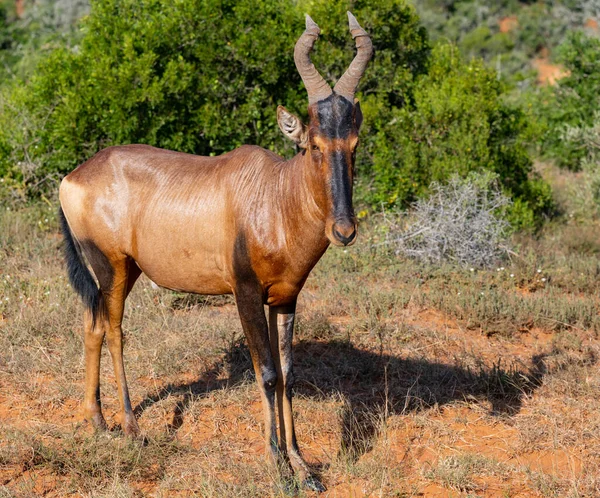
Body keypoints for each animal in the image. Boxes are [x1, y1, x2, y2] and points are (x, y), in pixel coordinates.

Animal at [59, 11, 370, 490]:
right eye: (313, 144)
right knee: (114, 331)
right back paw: (132, 428)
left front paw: (304, 468)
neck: (272, 193)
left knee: (93, 326)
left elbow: (288, 374)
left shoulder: (286, 298)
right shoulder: (245, 293)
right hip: (110, 266)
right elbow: (266, 374)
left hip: (126, 271)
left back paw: (98, 422)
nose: (344, 230)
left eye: (353, 144)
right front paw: (278, 468)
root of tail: (73, 176)